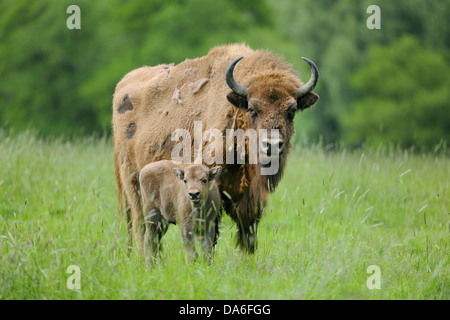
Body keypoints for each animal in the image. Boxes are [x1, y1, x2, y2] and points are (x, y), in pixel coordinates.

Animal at [112, 44, 318, 255]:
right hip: (133, 185)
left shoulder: (251, 200)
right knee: (140, 227)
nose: (272, 144)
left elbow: (248, 235)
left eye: (291, 111)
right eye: (252, 109)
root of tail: (122, 85)